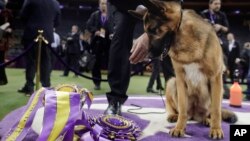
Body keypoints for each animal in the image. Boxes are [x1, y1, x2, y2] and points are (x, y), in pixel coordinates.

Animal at [130, 0, 237, 139]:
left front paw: (216, 129)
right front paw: (179, 128)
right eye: (146, 31)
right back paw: (173, 115)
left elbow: (216, 110)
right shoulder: (180, 80)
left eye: (153, 30)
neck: (185, 38)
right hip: (172, 82)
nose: (149, 55)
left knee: (211, 111)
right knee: (175, 108)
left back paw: (207, 119)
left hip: (218, 89)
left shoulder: (215, 78)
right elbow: (182, 109)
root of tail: (195, 115)